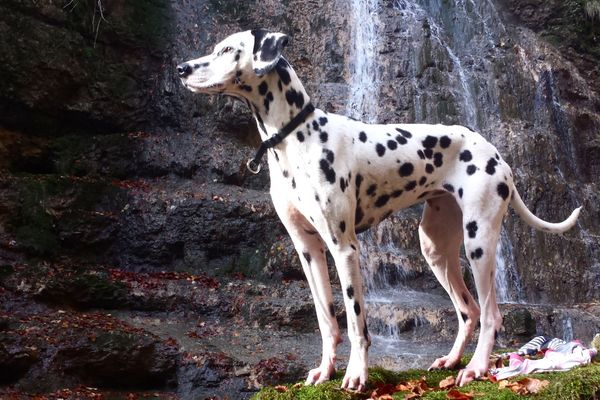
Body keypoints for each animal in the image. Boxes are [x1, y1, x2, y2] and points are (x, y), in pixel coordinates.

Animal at [178, 30, 580, 390]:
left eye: (226, 50)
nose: (181, 68)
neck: (295, 138)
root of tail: (496, 153)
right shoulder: (308, 250)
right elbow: (327, 320)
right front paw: (325, 372)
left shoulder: (344, 249)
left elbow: (357, 323)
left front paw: (357, 376)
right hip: (435, 248)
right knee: (469, 310)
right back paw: (452, 361)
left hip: (479, 243)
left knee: (492, 315)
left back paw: (476, 368)